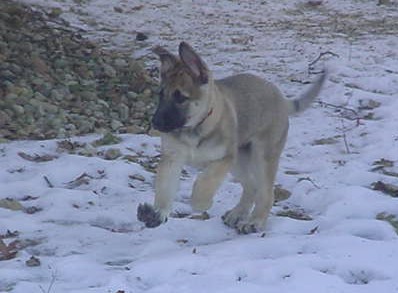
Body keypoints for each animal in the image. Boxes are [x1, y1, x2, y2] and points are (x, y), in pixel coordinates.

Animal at [138, 41, 324, 233]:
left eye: (181, 98)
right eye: (161, 94)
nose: (155, 123)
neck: (196, 128)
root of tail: (281, 98)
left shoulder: (223, 159)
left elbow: (205, 180)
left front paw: (201, 203)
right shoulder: (172, 158)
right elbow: (165, 188)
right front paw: (157, 213)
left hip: (261, 157)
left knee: (265, 192)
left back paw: (255, 221)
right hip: (239, 161)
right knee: (252, 186)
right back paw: (237, 213)